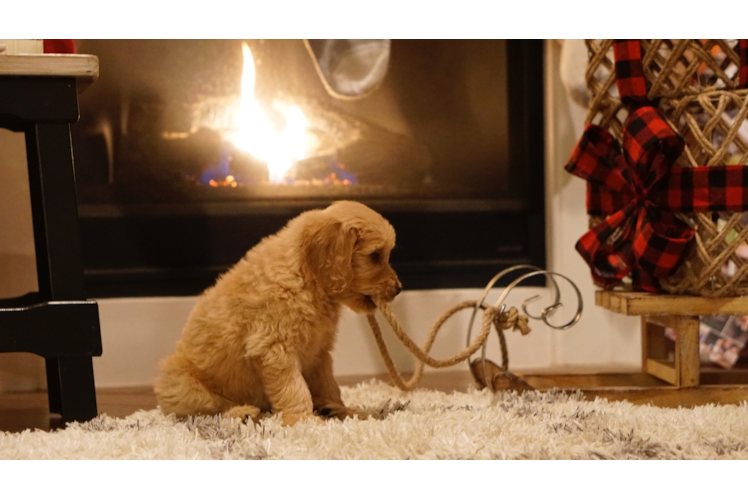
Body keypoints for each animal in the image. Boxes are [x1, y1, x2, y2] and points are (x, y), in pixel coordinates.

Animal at [153, 200, 404, 426]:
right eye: (375, 255)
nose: (399, 288)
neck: (305, 278)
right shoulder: (274, 347)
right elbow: (294, 387)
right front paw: (304, 420)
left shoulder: (319, 353)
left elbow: (328, 384)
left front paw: (344, 411)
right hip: (181, 384)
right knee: (205, 412)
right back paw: (241, 412)